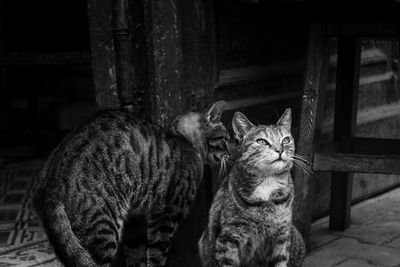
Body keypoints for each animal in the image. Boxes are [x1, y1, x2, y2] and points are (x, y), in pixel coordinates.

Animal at [33, 101, 228, 266]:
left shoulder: (136, 221)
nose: (230, 152)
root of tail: (52, 181)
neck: (184, 139)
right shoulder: (166, 214)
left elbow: (136, 255)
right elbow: (156, 255)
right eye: (225, 139)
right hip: (102, 229)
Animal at [198, 110, 304, 266]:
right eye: (262, 141)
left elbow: (280, 260)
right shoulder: (228, 238)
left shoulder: (282, 235)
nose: (280, 150)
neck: (267, 181)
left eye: (285, 140)